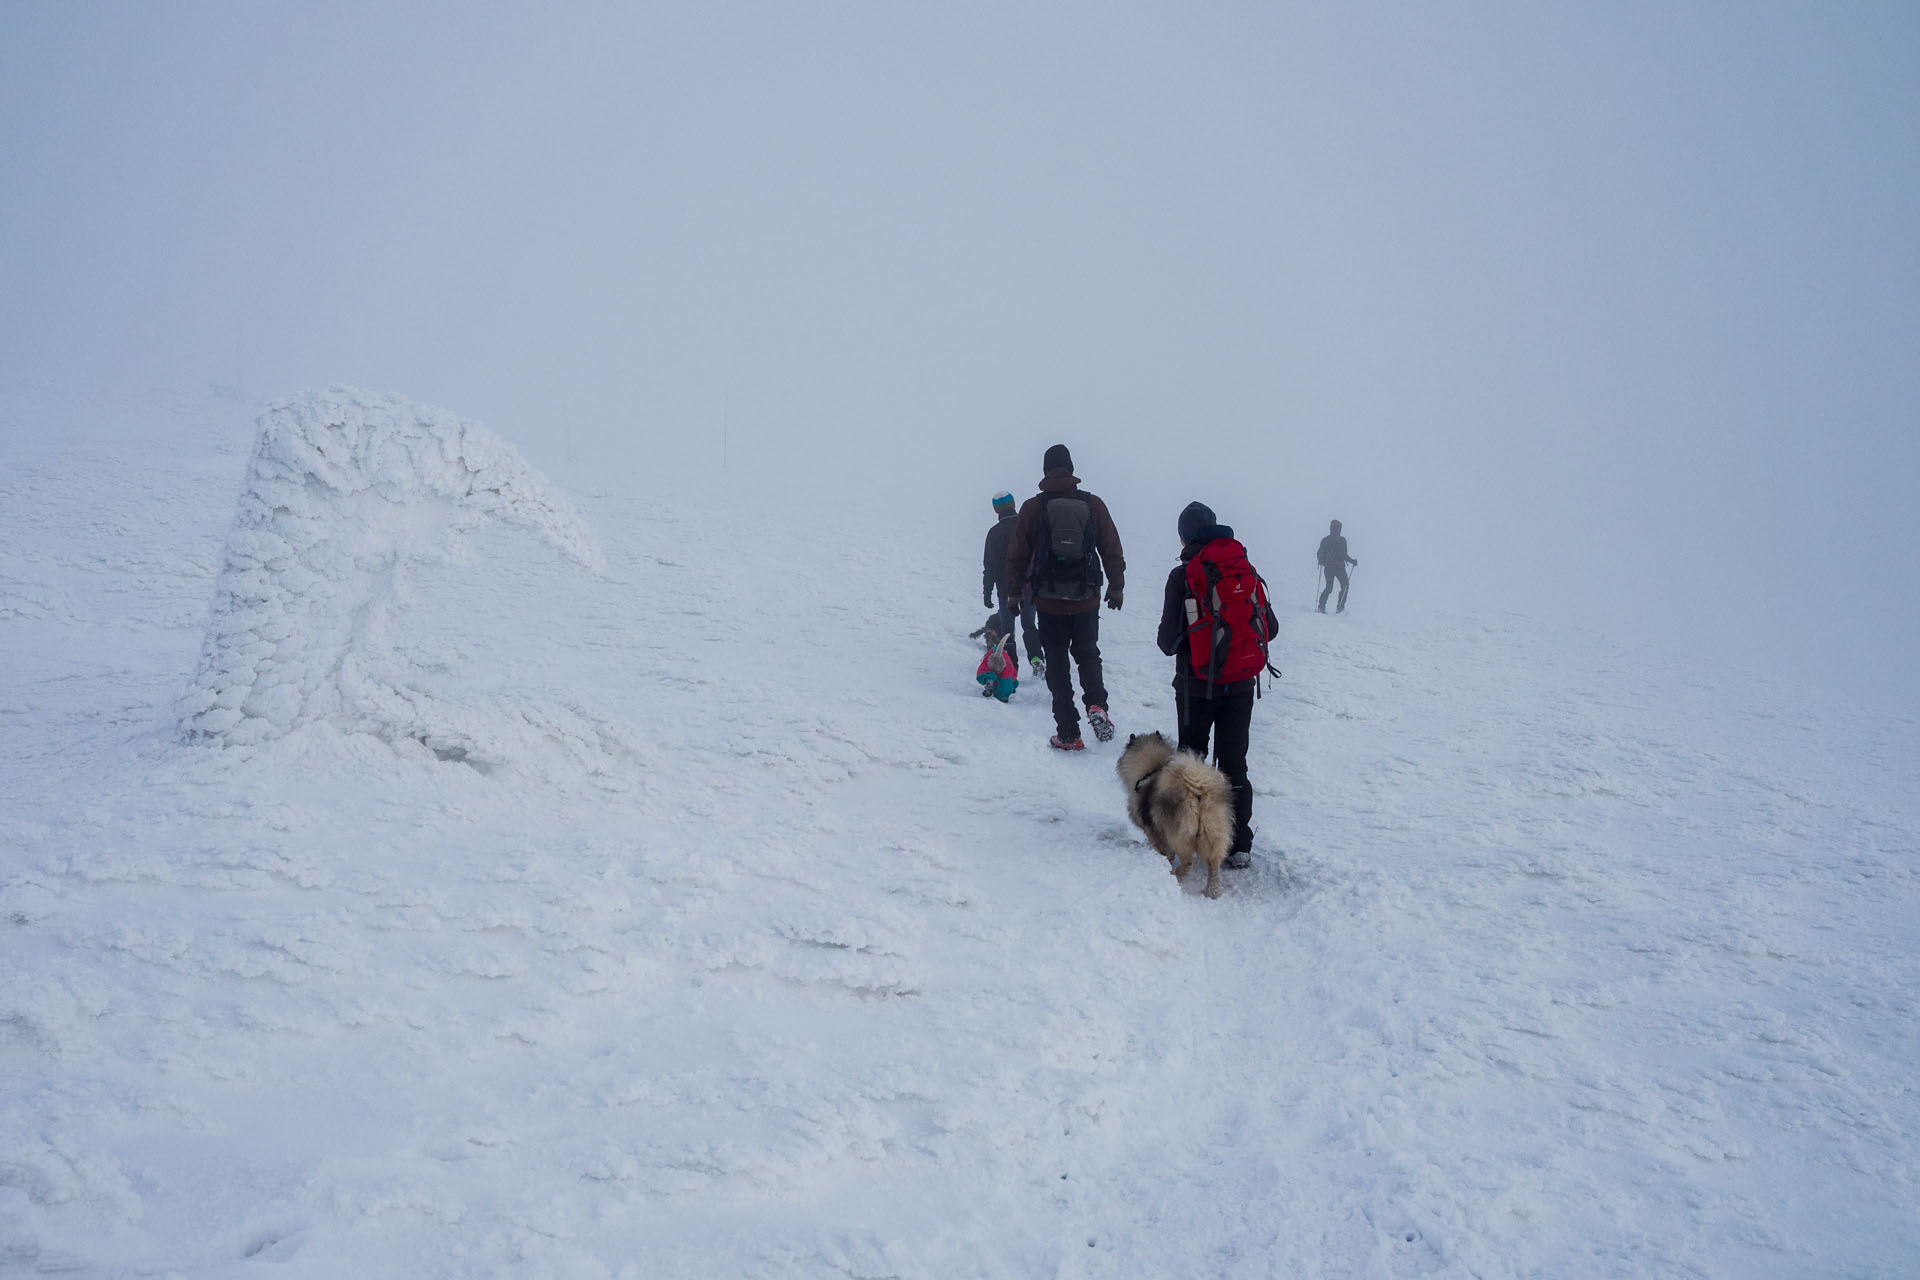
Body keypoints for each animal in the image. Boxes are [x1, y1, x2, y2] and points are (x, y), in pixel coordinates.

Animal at [1121, 729, 1236, 901]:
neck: (1150, 769)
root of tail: (1198, 792)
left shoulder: (1153, 830)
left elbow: (1164, 850)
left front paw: (1164, 858)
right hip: (1214, 832)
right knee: (1214, 864)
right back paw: (1212, 891)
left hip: (1178, 835)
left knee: (1188, 862)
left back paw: (1176, 874)